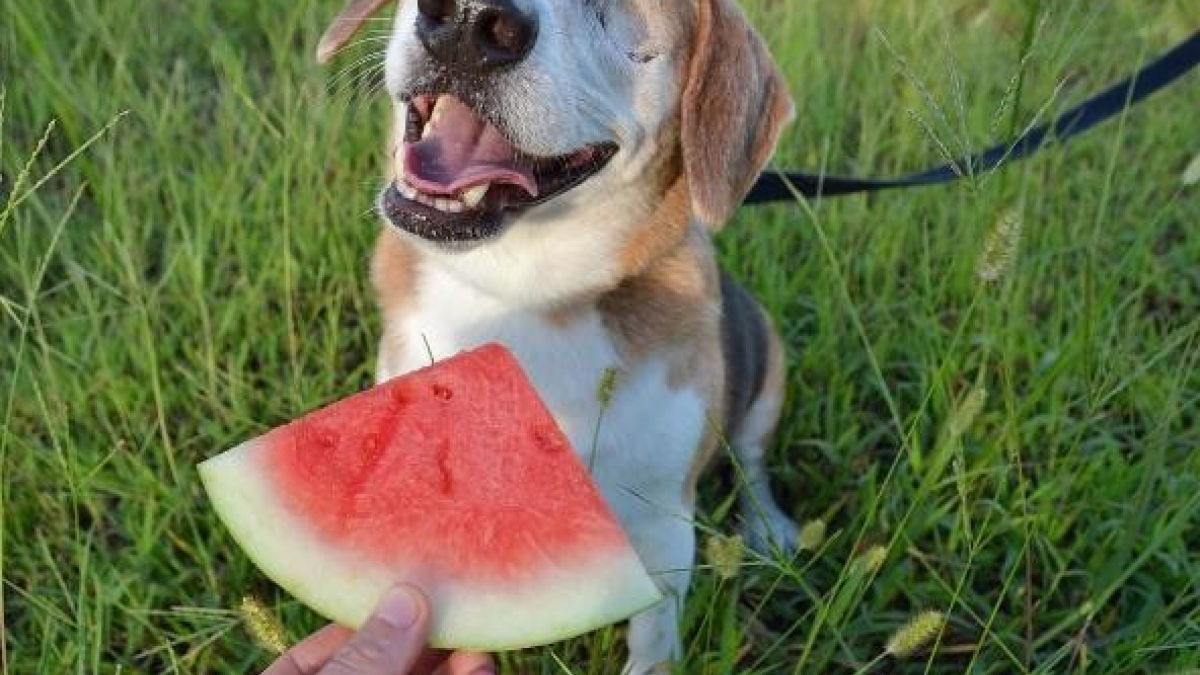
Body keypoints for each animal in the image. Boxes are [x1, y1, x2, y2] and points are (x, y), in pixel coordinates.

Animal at [319, 1, 796, 667]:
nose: (467, 21)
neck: (516, 295)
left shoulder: (664, 528)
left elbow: (653, 641)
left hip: (770, 369)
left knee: (752, 461)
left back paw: (768, 527)